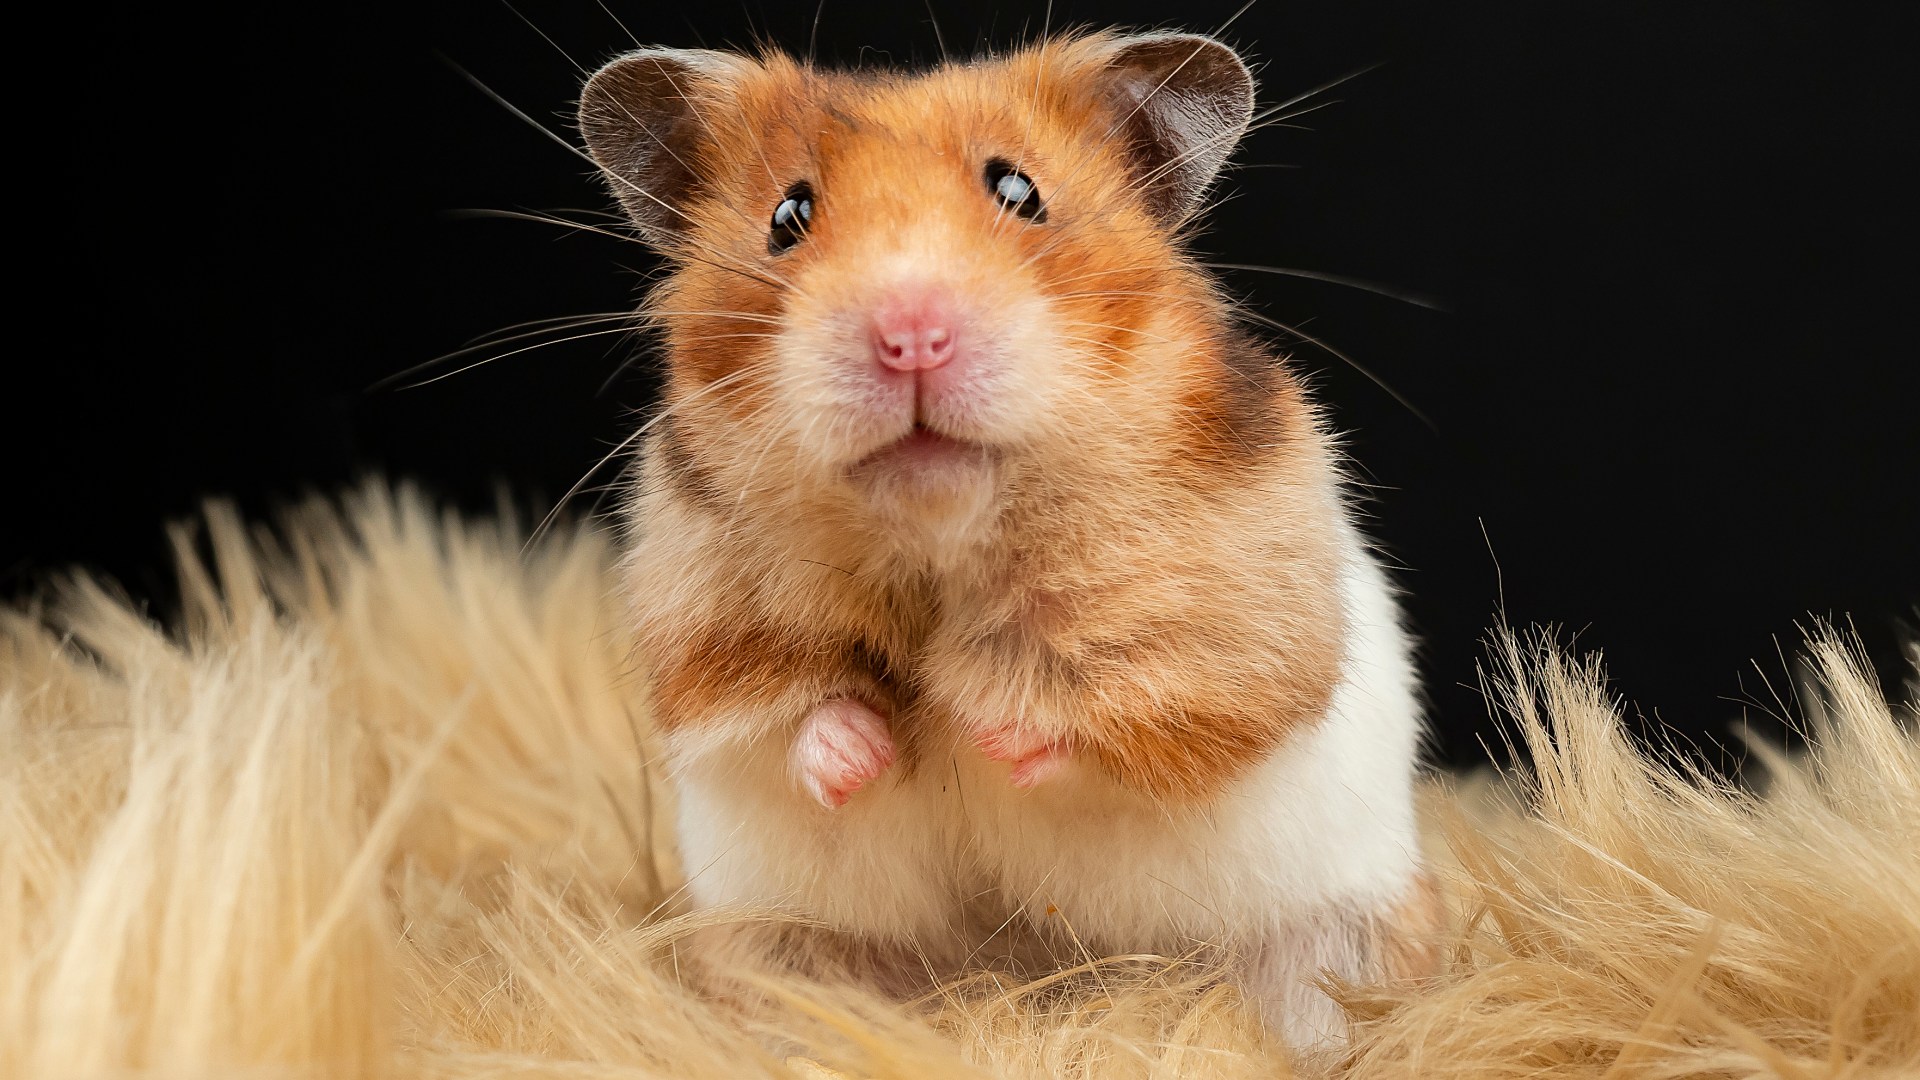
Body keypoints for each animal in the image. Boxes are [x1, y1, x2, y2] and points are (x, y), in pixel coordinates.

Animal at [577, 31, 1436, 1048]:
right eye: (789, 215)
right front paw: (870, 749)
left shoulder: (1224, 636)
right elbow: (789, 710)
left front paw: (976, 721)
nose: (910, 336)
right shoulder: (704, 622)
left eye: (1019, 191)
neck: (941, 541)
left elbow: (1124, 719)